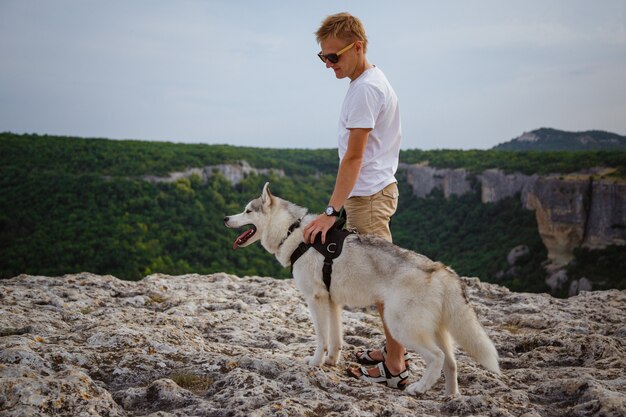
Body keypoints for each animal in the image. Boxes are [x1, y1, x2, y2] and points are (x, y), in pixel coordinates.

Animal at [223, 182, 498, 394]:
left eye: (247, 210)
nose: (225, 218)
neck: (292, 232)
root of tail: (440, 270)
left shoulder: (315, 299)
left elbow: (321, 337)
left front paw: (315, 362)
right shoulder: (332, 302)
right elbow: (335, 339)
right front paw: (331, 361)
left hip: (402, 327)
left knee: (437, 358)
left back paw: (419, 388)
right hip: (439, 330)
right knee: (451, 363)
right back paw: (452, 396)